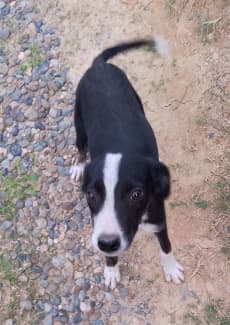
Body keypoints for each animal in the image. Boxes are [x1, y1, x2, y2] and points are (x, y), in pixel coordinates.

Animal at [71, 39, 184, 288]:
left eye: (137, 194)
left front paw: (171, 269)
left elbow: (166, 246)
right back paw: (78, 165)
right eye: (91, 195)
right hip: (78, 121)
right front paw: (111, 270)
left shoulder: (159, 219)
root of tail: (99, 65)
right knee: (81, 145)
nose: (107, 243)